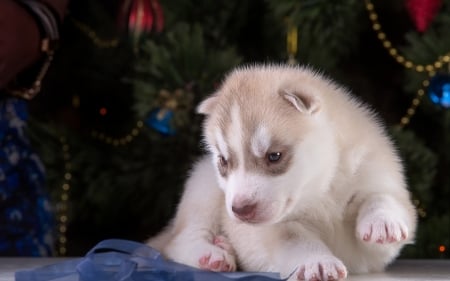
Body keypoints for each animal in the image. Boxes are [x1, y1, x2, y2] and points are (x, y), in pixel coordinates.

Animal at [148, 64, 418, 280]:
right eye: (224, 161)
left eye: (274, 156)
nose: (240, 210)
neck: (320, 192)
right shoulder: (276, 229)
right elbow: (297, 240)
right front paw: (317, 262)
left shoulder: (375, 178)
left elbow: (382, 198)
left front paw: (383, 221)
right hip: (202, 187)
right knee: (180, 239)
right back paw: (212, 253)